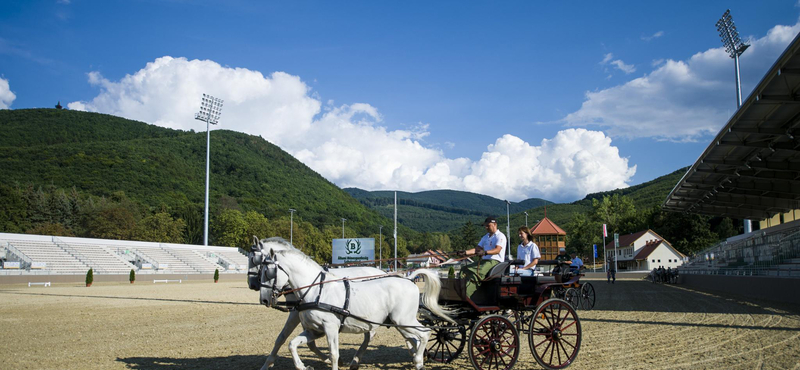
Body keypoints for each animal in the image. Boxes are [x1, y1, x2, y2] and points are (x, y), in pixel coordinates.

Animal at [250, 238, 388, 368]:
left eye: (255, 260)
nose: (253, 285)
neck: (313, 286)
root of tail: (383, 272)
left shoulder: (296, 314)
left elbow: (288, 338)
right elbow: (285, 338)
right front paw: (266, 365)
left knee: (370, 334)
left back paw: (355, 361)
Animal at [260, 243, 454, 370]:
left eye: (268, 271)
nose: (264, 300)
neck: (316, 290)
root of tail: (409, 279)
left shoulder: (330, 327)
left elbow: (334, 354)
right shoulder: (314, 330)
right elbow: (292, 344)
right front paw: (302, 366)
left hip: (403, 320)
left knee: (424, 334)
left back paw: (419, 360)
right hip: (399, 323)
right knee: (414, 339)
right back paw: (417, 359)